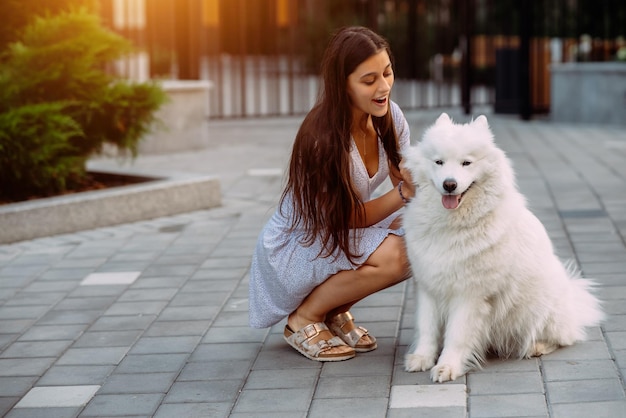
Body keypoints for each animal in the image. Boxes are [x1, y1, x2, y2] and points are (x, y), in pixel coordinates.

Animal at [402, 113, 604, 382]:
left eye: (466, 163)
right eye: (439, 162)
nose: (449, 184)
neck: (452, 224)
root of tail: (573, 299)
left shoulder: (469, 294)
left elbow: (456, 335)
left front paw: (447, 366)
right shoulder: (428, 286)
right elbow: (426, 328)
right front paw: (422, 358)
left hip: (537, 308)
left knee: (562, 338)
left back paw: (536, 346)